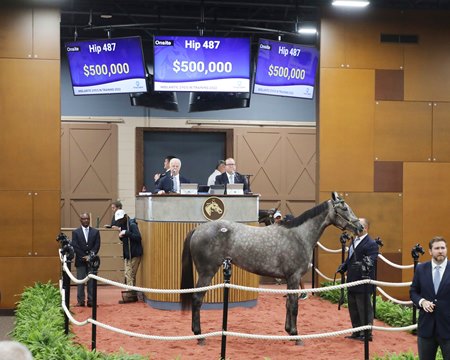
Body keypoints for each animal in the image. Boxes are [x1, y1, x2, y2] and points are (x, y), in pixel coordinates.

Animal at [180, 193, 362, 344]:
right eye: (344, 208)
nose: (360, 227)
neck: (299, 235)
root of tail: (198, 229)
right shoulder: (294, 277)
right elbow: (294, 306)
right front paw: (296, 335)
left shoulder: (290, 279)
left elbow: (288, 304)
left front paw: (288, 331)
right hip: (207, 272)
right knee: (197, 299)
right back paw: (199, 335)